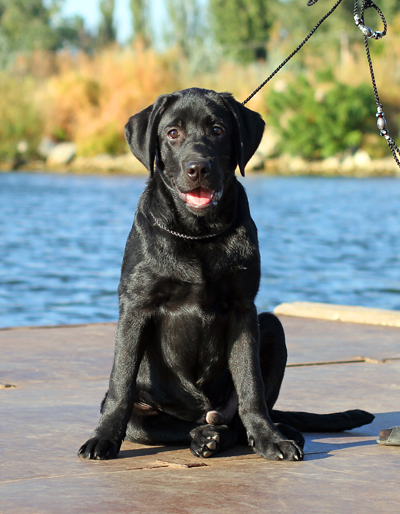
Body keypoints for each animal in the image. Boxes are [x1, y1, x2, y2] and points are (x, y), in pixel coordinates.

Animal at [79, 88, 376, 460]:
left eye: (218, 130)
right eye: (172, 132)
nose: (197, 168)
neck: (198, 234)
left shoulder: (243, 309)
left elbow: (251, 386)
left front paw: (269, 438)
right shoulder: (136, 305)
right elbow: (121, 382)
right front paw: (103, 437)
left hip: (271, 326)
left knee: (240, 422)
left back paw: (269, 431)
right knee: (174, 425)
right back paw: (206, 437)